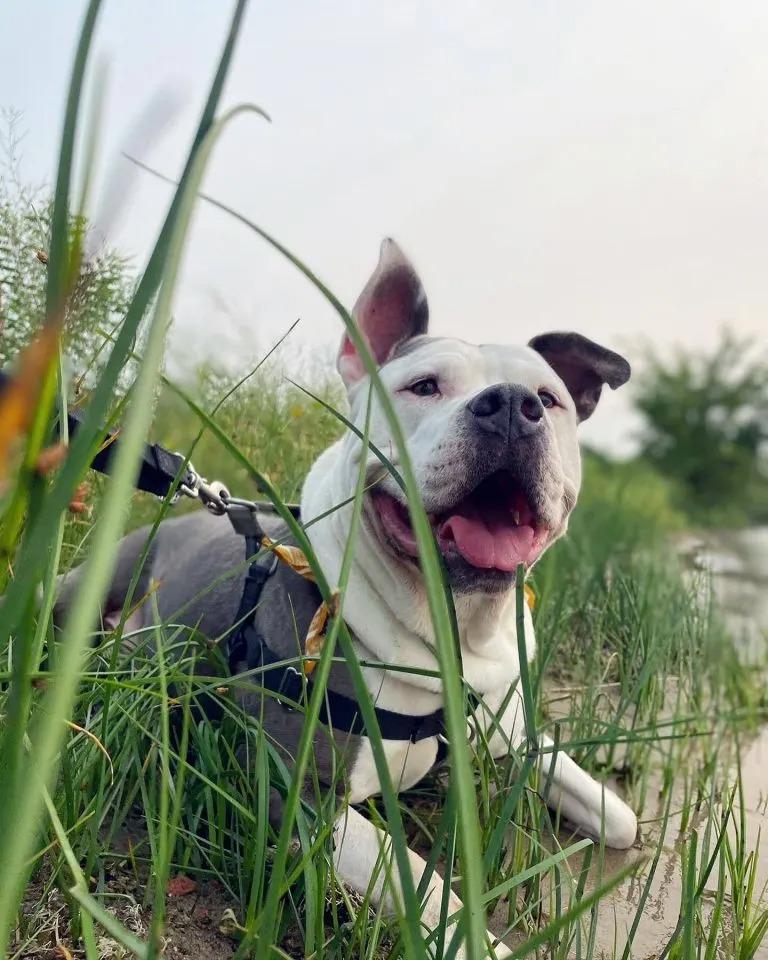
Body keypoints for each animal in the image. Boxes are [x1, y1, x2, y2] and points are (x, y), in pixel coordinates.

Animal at [57, 236, 640, 956]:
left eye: (549, 399)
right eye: (423, 387)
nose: (509, 404)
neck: (448, 625)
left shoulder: (506, 724)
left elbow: (618, 815)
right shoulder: (299, 797)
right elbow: (432, 889)